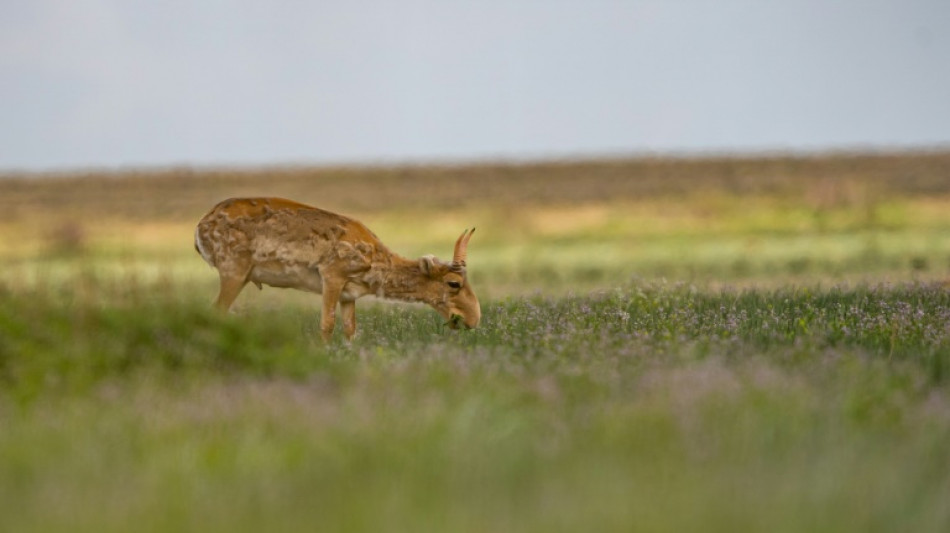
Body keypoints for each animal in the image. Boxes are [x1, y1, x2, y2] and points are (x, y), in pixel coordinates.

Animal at [198, 196, 488, 340]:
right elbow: (326, 324)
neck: (373, 256)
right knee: (216, 311)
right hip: (234, 274)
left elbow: (350, 329)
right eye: (454, 283)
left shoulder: (349, 296)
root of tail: (202, 224)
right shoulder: (332, 279)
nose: (474, 319)